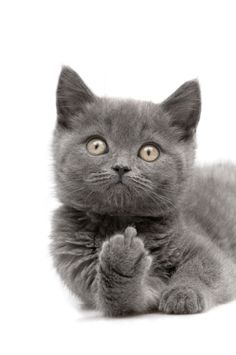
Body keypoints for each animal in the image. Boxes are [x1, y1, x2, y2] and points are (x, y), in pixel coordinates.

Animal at [50, 67, 236, 318]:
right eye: (96, 145)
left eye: (149, 152)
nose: (121, 167)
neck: (120, 221)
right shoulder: (79, 265)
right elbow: (125, 298)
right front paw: (122, 259)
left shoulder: (209, 252)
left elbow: (205, 268)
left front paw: (184, 292)